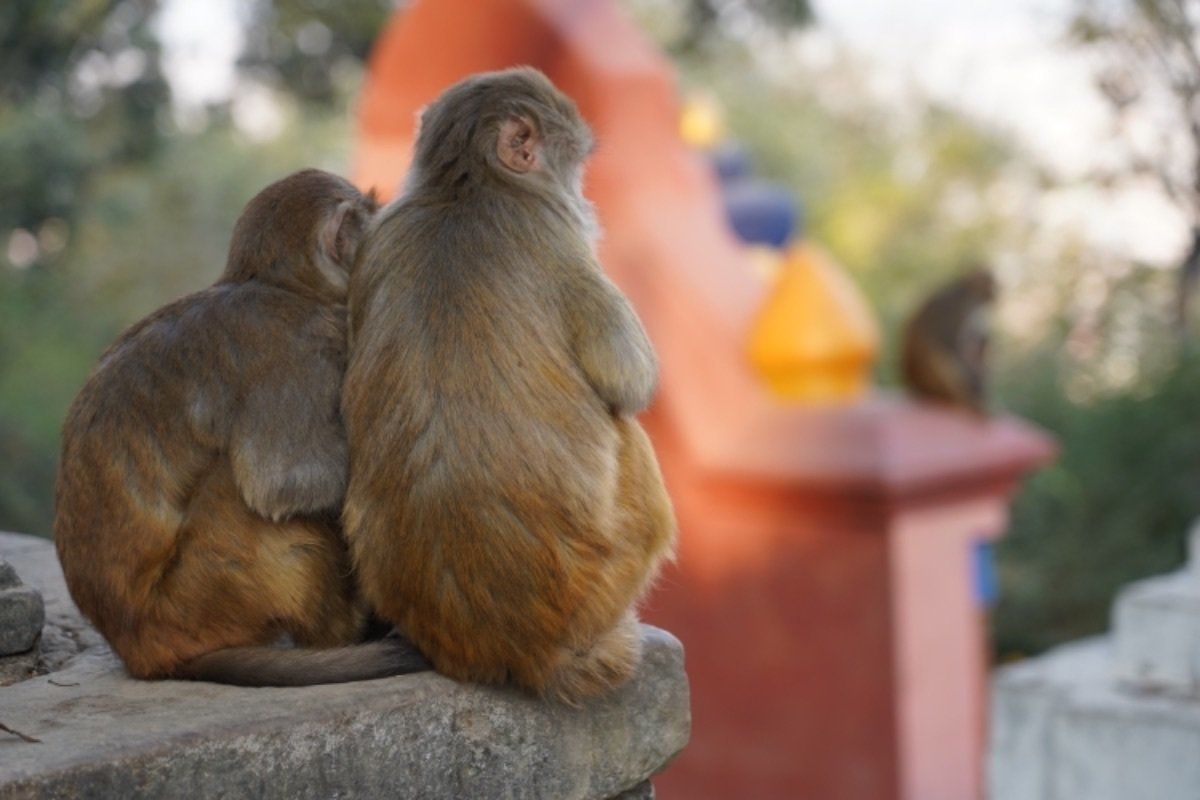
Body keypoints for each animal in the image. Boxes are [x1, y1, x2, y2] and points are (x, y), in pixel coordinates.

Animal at [54, 169, 428, 686]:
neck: (283, 287)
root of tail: (140, 648)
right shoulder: (296, 347)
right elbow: (284, 484)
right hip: (203, 598)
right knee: (237, 493)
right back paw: (344, 635)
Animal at [342, 67, 677, 704]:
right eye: (575, 167)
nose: (588, 201)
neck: (465, 188)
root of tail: (515, 651)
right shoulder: (555, 232)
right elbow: (627, 378)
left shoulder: (382, 228)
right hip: (603, 572)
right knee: (629, 435)